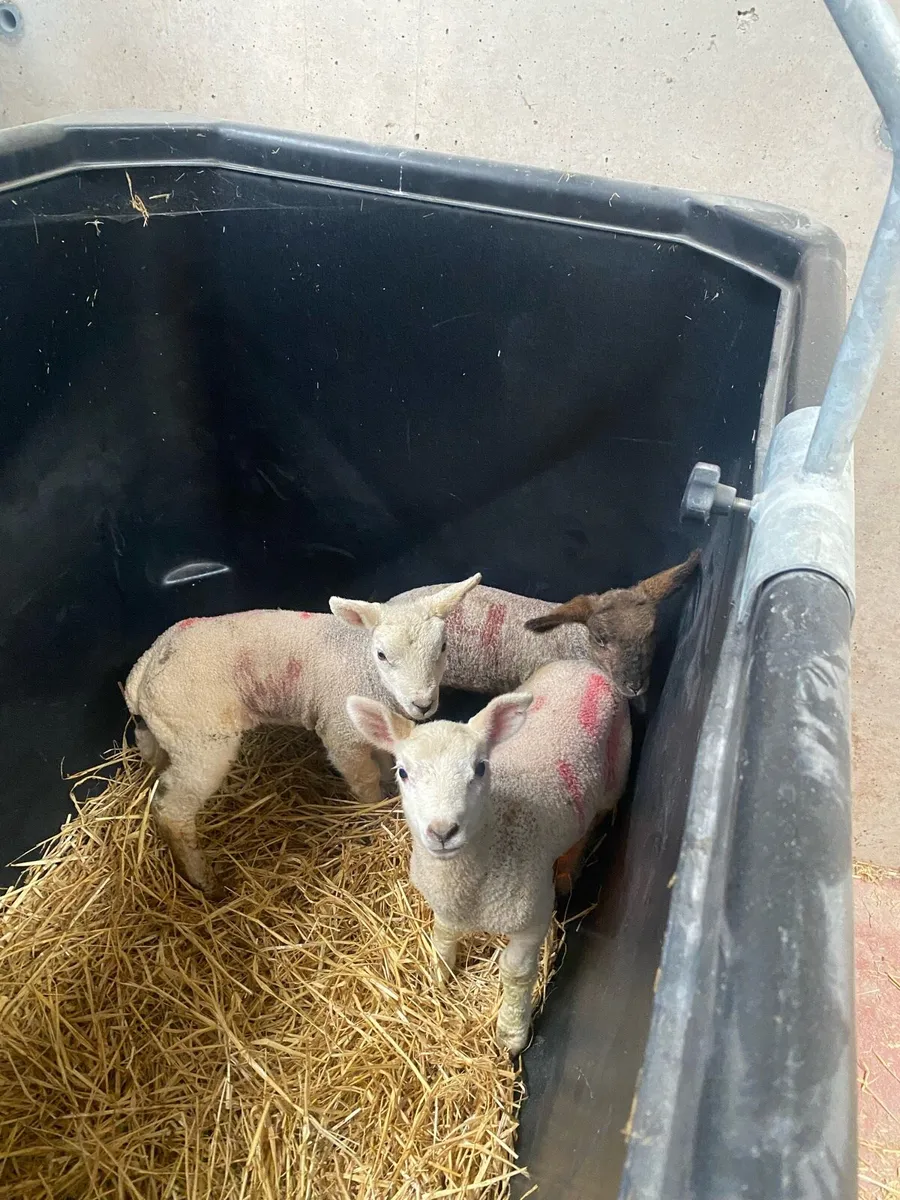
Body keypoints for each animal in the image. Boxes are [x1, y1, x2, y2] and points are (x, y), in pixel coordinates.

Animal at [124, 576, 481, 898]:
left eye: (443, 647)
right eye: (381, 655)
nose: (423, 704)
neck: (363, 664)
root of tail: (144, 669)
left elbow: (383, 762)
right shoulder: (341, 732)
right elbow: (364, 780)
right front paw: (372, 814)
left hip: (170, 733)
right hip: (202, 736)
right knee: (172, 810)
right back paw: (204, 880)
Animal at [346, 657, 632, 1055]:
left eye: (480, 767)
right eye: (402, 772)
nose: (443, 831)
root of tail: (584, 664)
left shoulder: (532, 917)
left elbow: (516, 972)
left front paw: (511, 1033)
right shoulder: (446, 902)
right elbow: (443, 933)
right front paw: (440, 974)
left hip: (614, 776)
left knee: (590, 826)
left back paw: (566, 872)